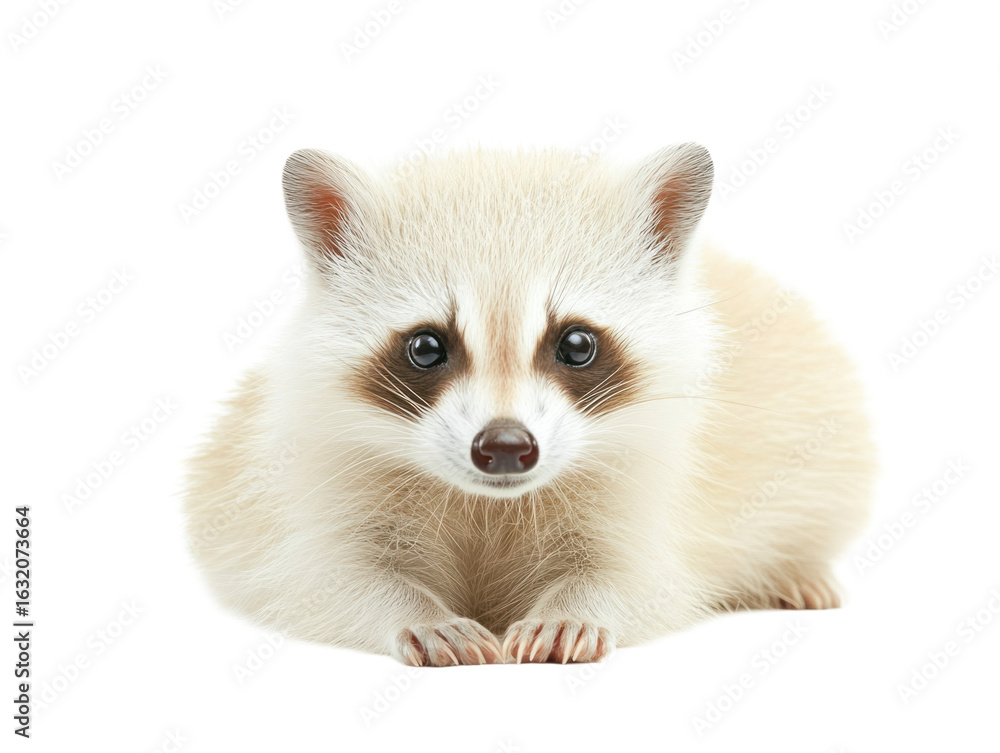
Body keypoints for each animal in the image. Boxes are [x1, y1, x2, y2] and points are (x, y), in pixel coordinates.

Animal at [184, 144, 875, 666]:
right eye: (426, 347)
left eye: (576, 344)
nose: (505, 447)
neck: (490, 504)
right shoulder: (316, 481)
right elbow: (327, 579)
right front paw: (414, 612)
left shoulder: (655, 488)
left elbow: (639, 578)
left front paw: (578, 606)